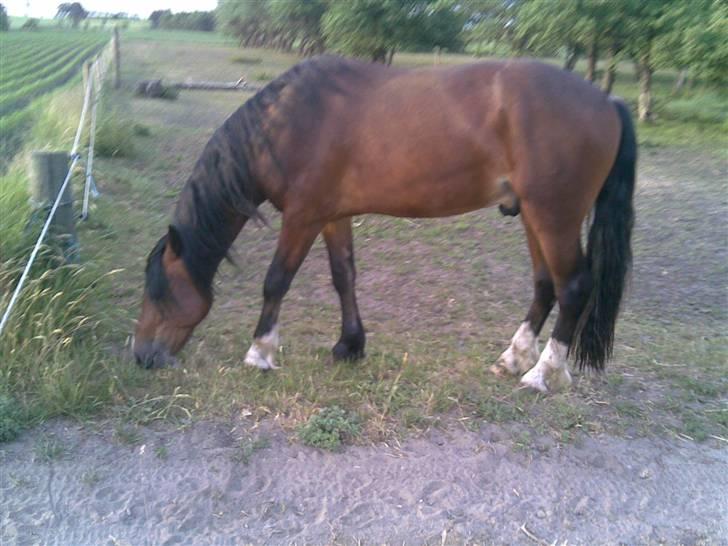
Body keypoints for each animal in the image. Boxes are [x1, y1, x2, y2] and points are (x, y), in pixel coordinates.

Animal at [134, 55, 636, 392]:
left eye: (159, 293)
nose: (141, 357)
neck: (288, 122)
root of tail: (606, 100)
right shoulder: (332, 215)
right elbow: (344, 276)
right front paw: (350, 346)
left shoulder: (302, 215)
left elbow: (276, 280)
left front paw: (260, 352)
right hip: (533, 215)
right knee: (544, 285)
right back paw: (512, 359)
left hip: (554, 215)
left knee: (573, 287)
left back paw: (541, 374)